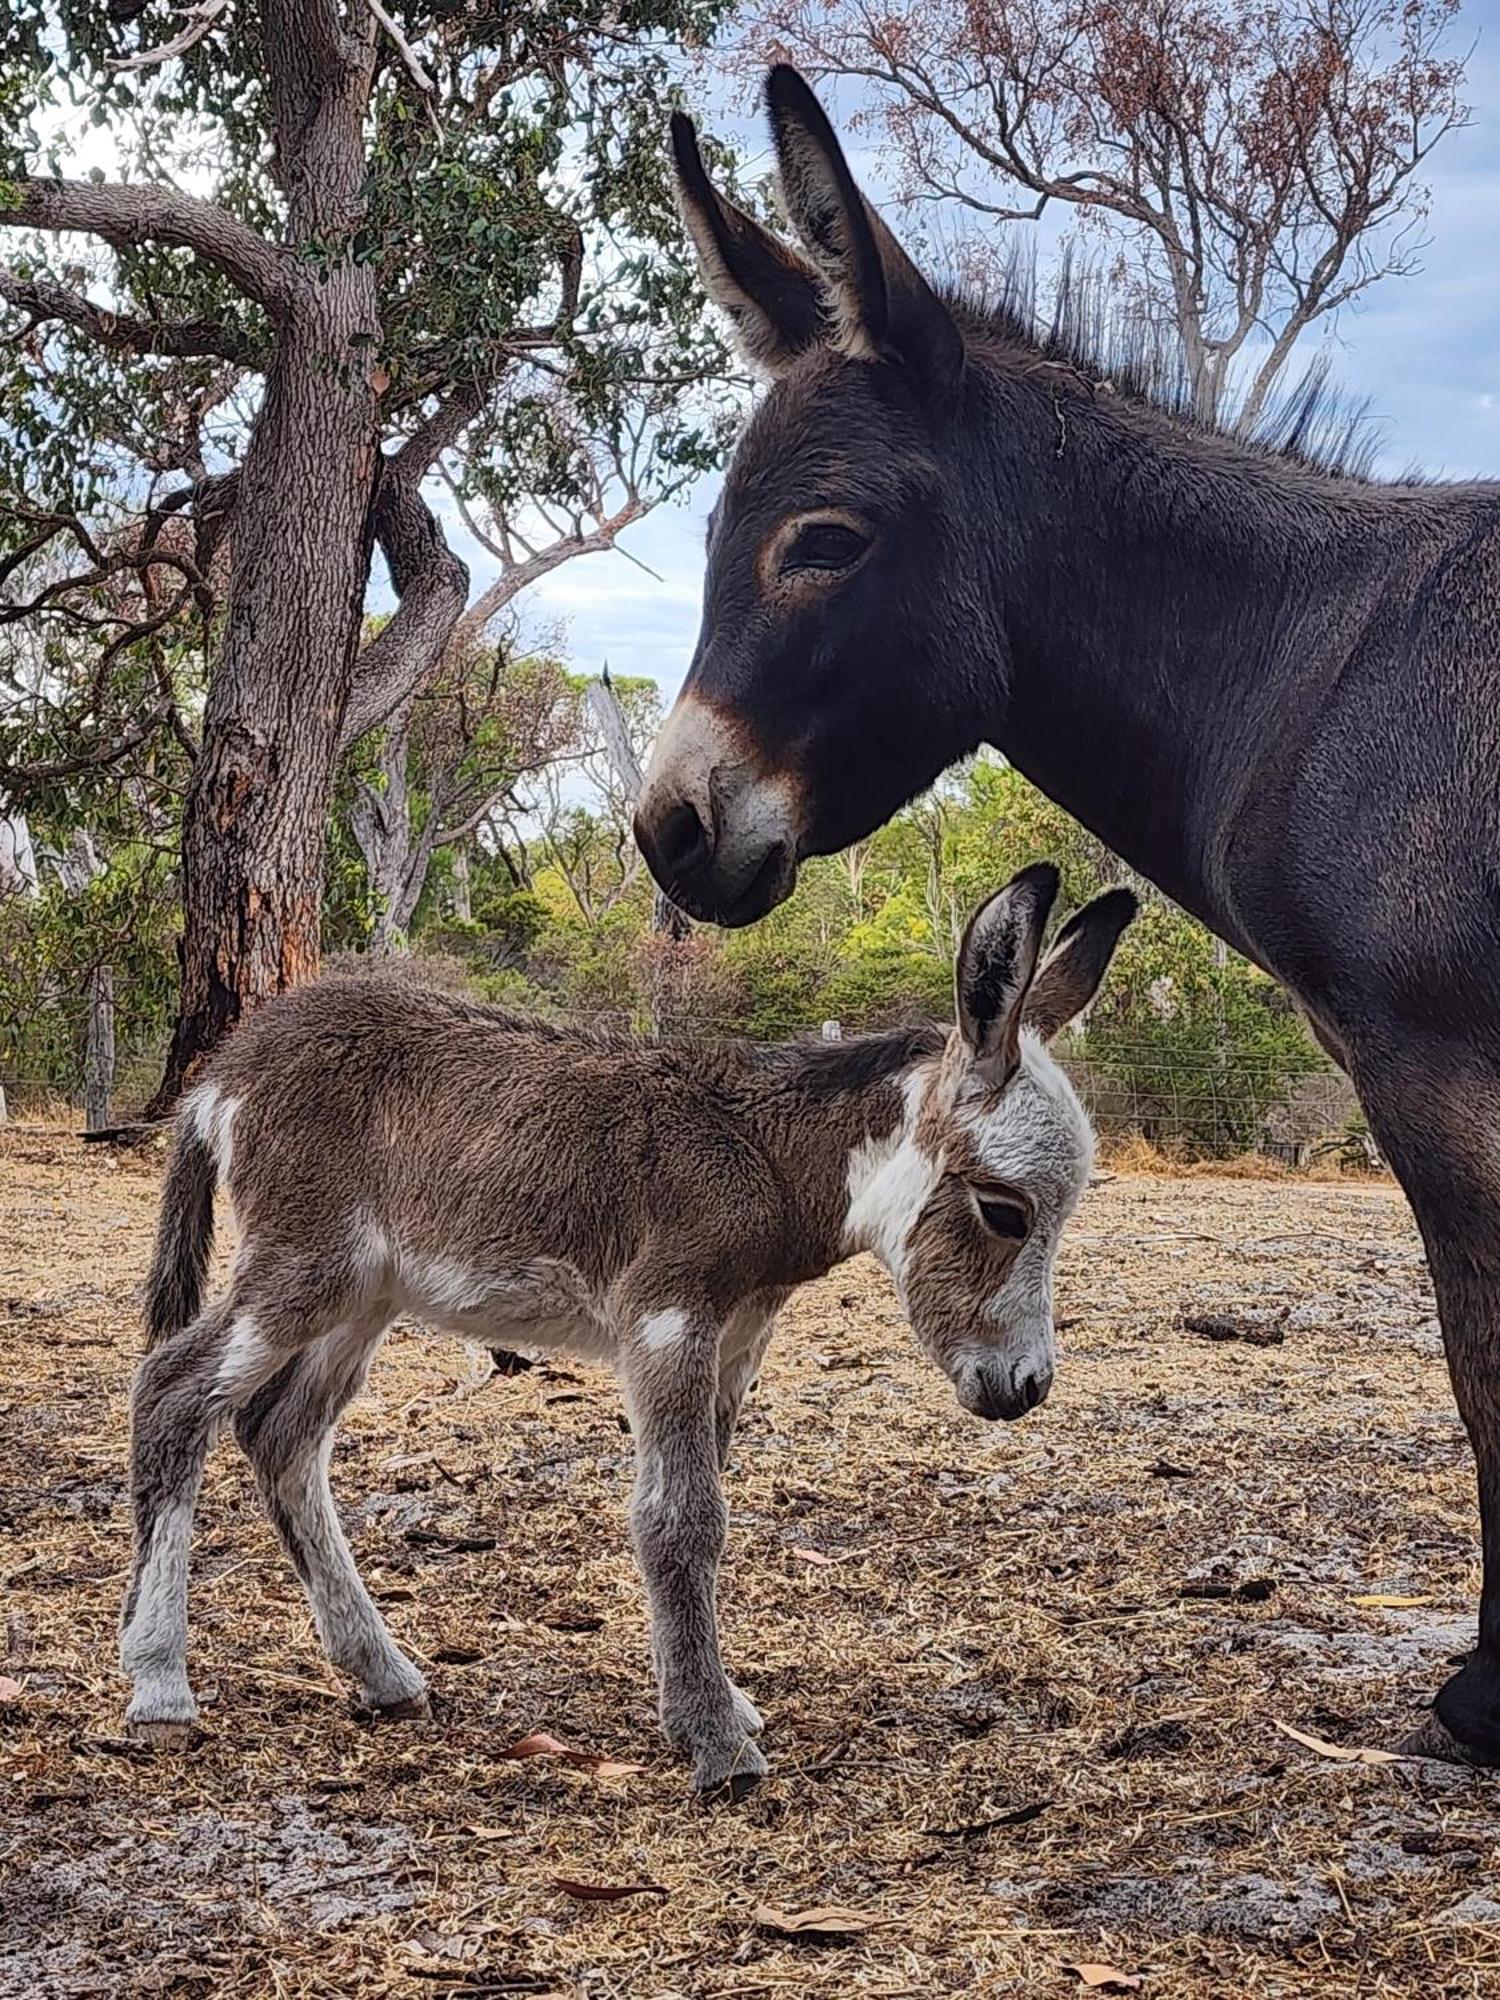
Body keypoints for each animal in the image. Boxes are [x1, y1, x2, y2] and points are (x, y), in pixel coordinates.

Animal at [126, 868, 1136, 1792]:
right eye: (1005, 1212)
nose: (1027, 1388)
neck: (763, 1155)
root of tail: (227, 1071)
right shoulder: (667, 1318)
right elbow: (680, 1518)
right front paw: (716, 1742)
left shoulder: (736, 1338)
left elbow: (701, 1501)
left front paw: (715, 1702)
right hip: (303, 1267)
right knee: (174, 1390)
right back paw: (161, 1687)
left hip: (363, 1297)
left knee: (280, 1432)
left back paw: (382, 1673)